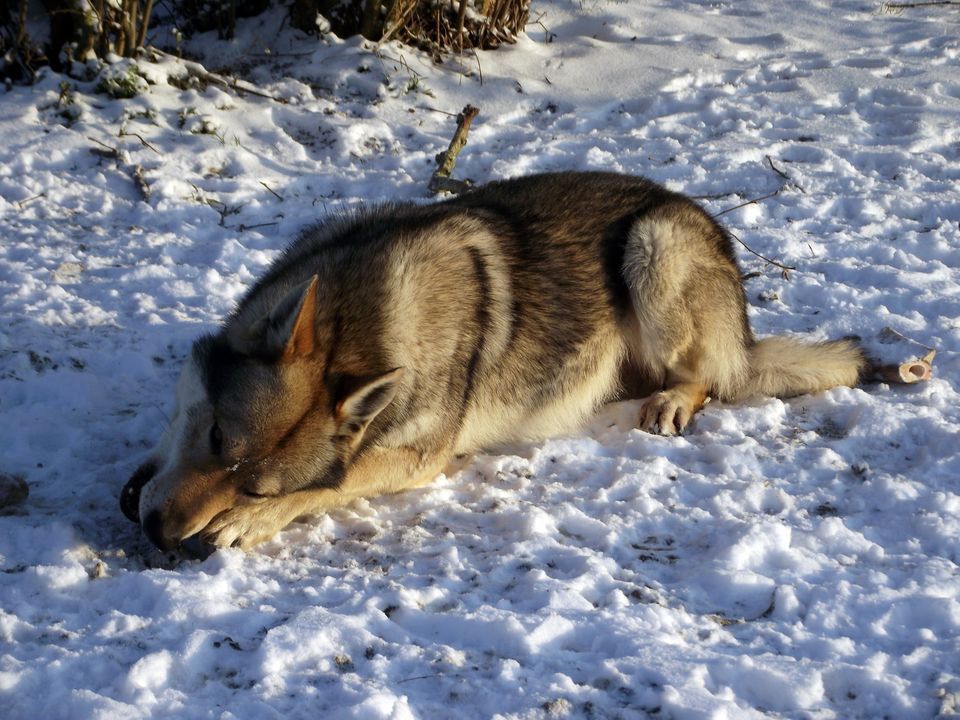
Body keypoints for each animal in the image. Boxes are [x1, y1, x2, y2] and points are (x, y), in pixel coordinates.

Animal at [120, 173, 864, 552]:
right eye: (215, 435)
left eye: (256, 490)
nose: (161, 535)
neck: (359, 324)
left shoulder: (421, 458)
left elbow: (335, 481)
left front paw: (241, 525)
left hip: (654, 245)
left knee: (710, 379)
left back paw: (673, 402)